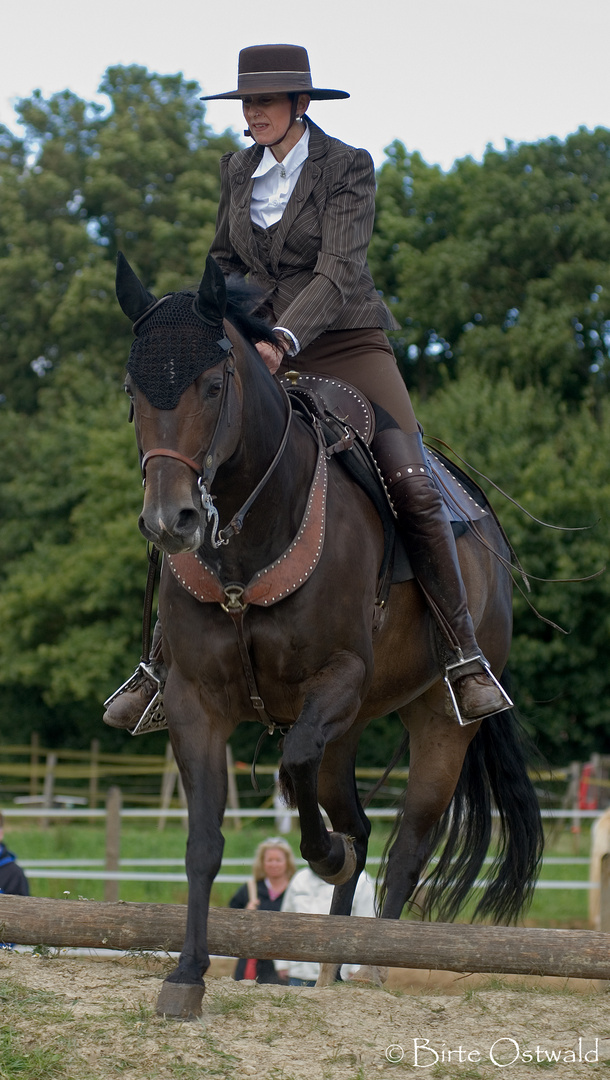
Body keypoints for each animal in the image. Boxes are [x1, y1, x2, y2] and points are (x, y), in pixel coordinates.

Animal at [115, 250, 541, 1010]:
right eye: (133, 392)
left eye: (213, 384)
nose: (171, 521)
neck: (249, 540)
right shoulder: (197, 702)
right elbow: (203, 843)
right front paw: (187, 975)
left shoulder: (338, 678)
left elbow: (295, 772)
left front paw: (325, 857)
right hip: (349, 731)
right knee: (362, 824)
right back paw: (334, 966)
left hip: (438, 724)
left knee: (405, 848)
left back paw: (375, 967)